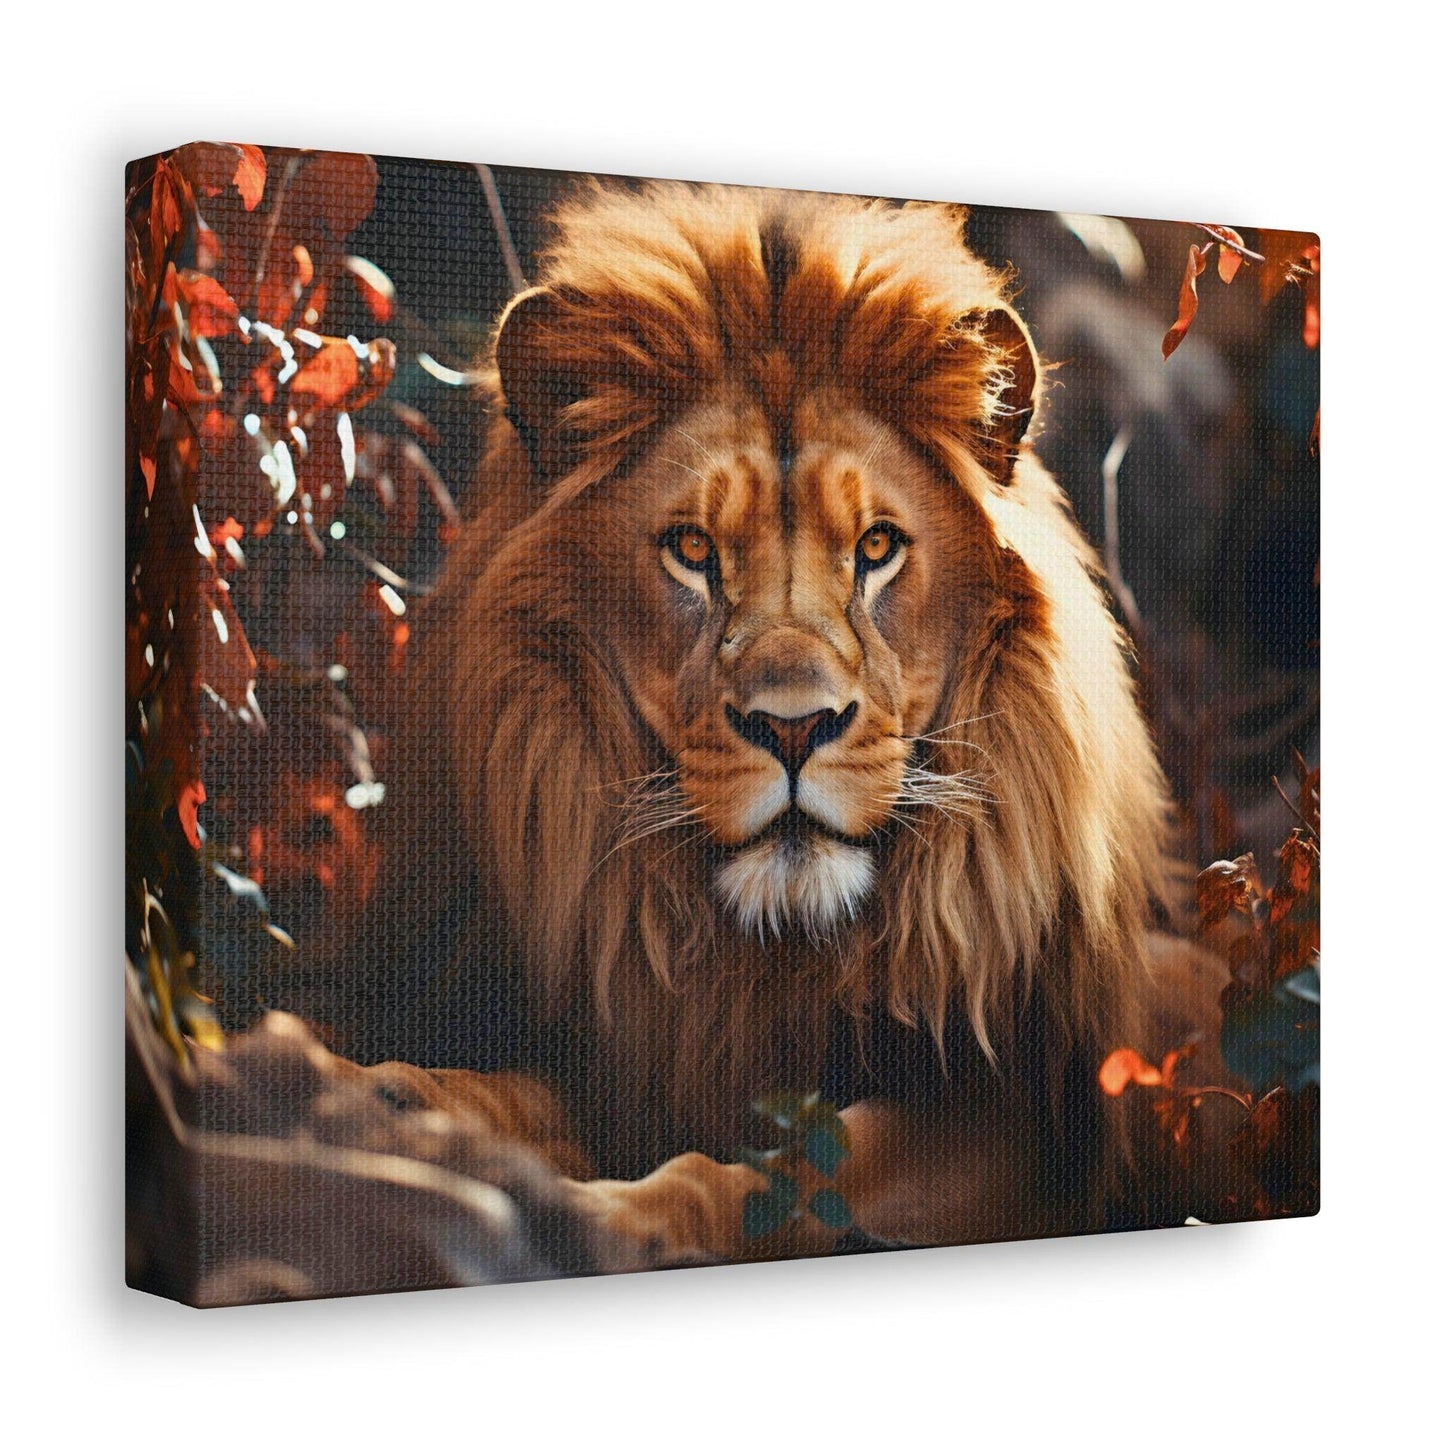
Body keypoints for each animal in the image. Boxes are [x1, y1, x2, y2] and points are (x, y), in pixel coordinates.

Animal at [338, 182, 1212, 1260]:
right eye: (691, 549)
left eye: (875, 547)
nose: (794, 730)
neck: (764, 953)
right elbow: (510, 1095)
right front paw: (384, 1099)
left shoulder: (1022, 1126)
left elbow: (793, 1171)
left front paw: (614, 1216)